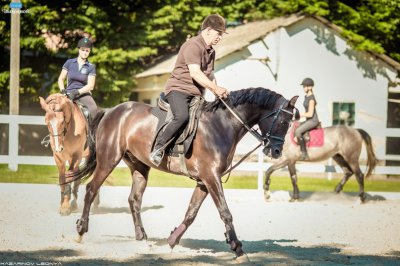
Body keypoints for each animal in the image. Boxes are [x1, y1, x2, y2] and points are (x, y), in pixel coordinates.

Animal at [65, 88, 296, 258]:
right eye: (283, 122)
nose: (276, 151)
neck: (221, 125)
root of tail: (112, 111)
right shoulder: (211, 177)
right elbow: (225, 212)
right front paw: (237, 248)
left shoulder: (205, 181)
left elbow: (191, 213)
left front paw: (172, 240)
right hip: (109, 159)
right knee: (91, 189)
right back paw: (80, 231)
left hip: (139, 166)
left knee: (134, 200)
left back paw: (141, 237)